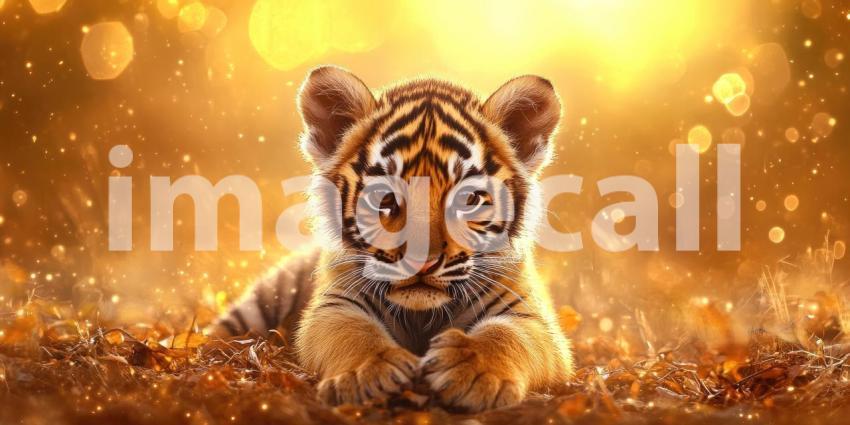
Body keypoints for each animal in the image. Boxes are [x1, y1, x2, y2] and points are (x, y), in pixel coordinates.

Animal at [210, 66, 573, 412]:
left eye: (467, 198)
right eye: (383, 197)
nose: (421, 261)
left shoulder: (529, 315)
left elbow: (507, 336)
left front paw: (473, 370)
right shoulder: (335, 303)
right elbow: (350, 331)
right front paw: (368, 374)